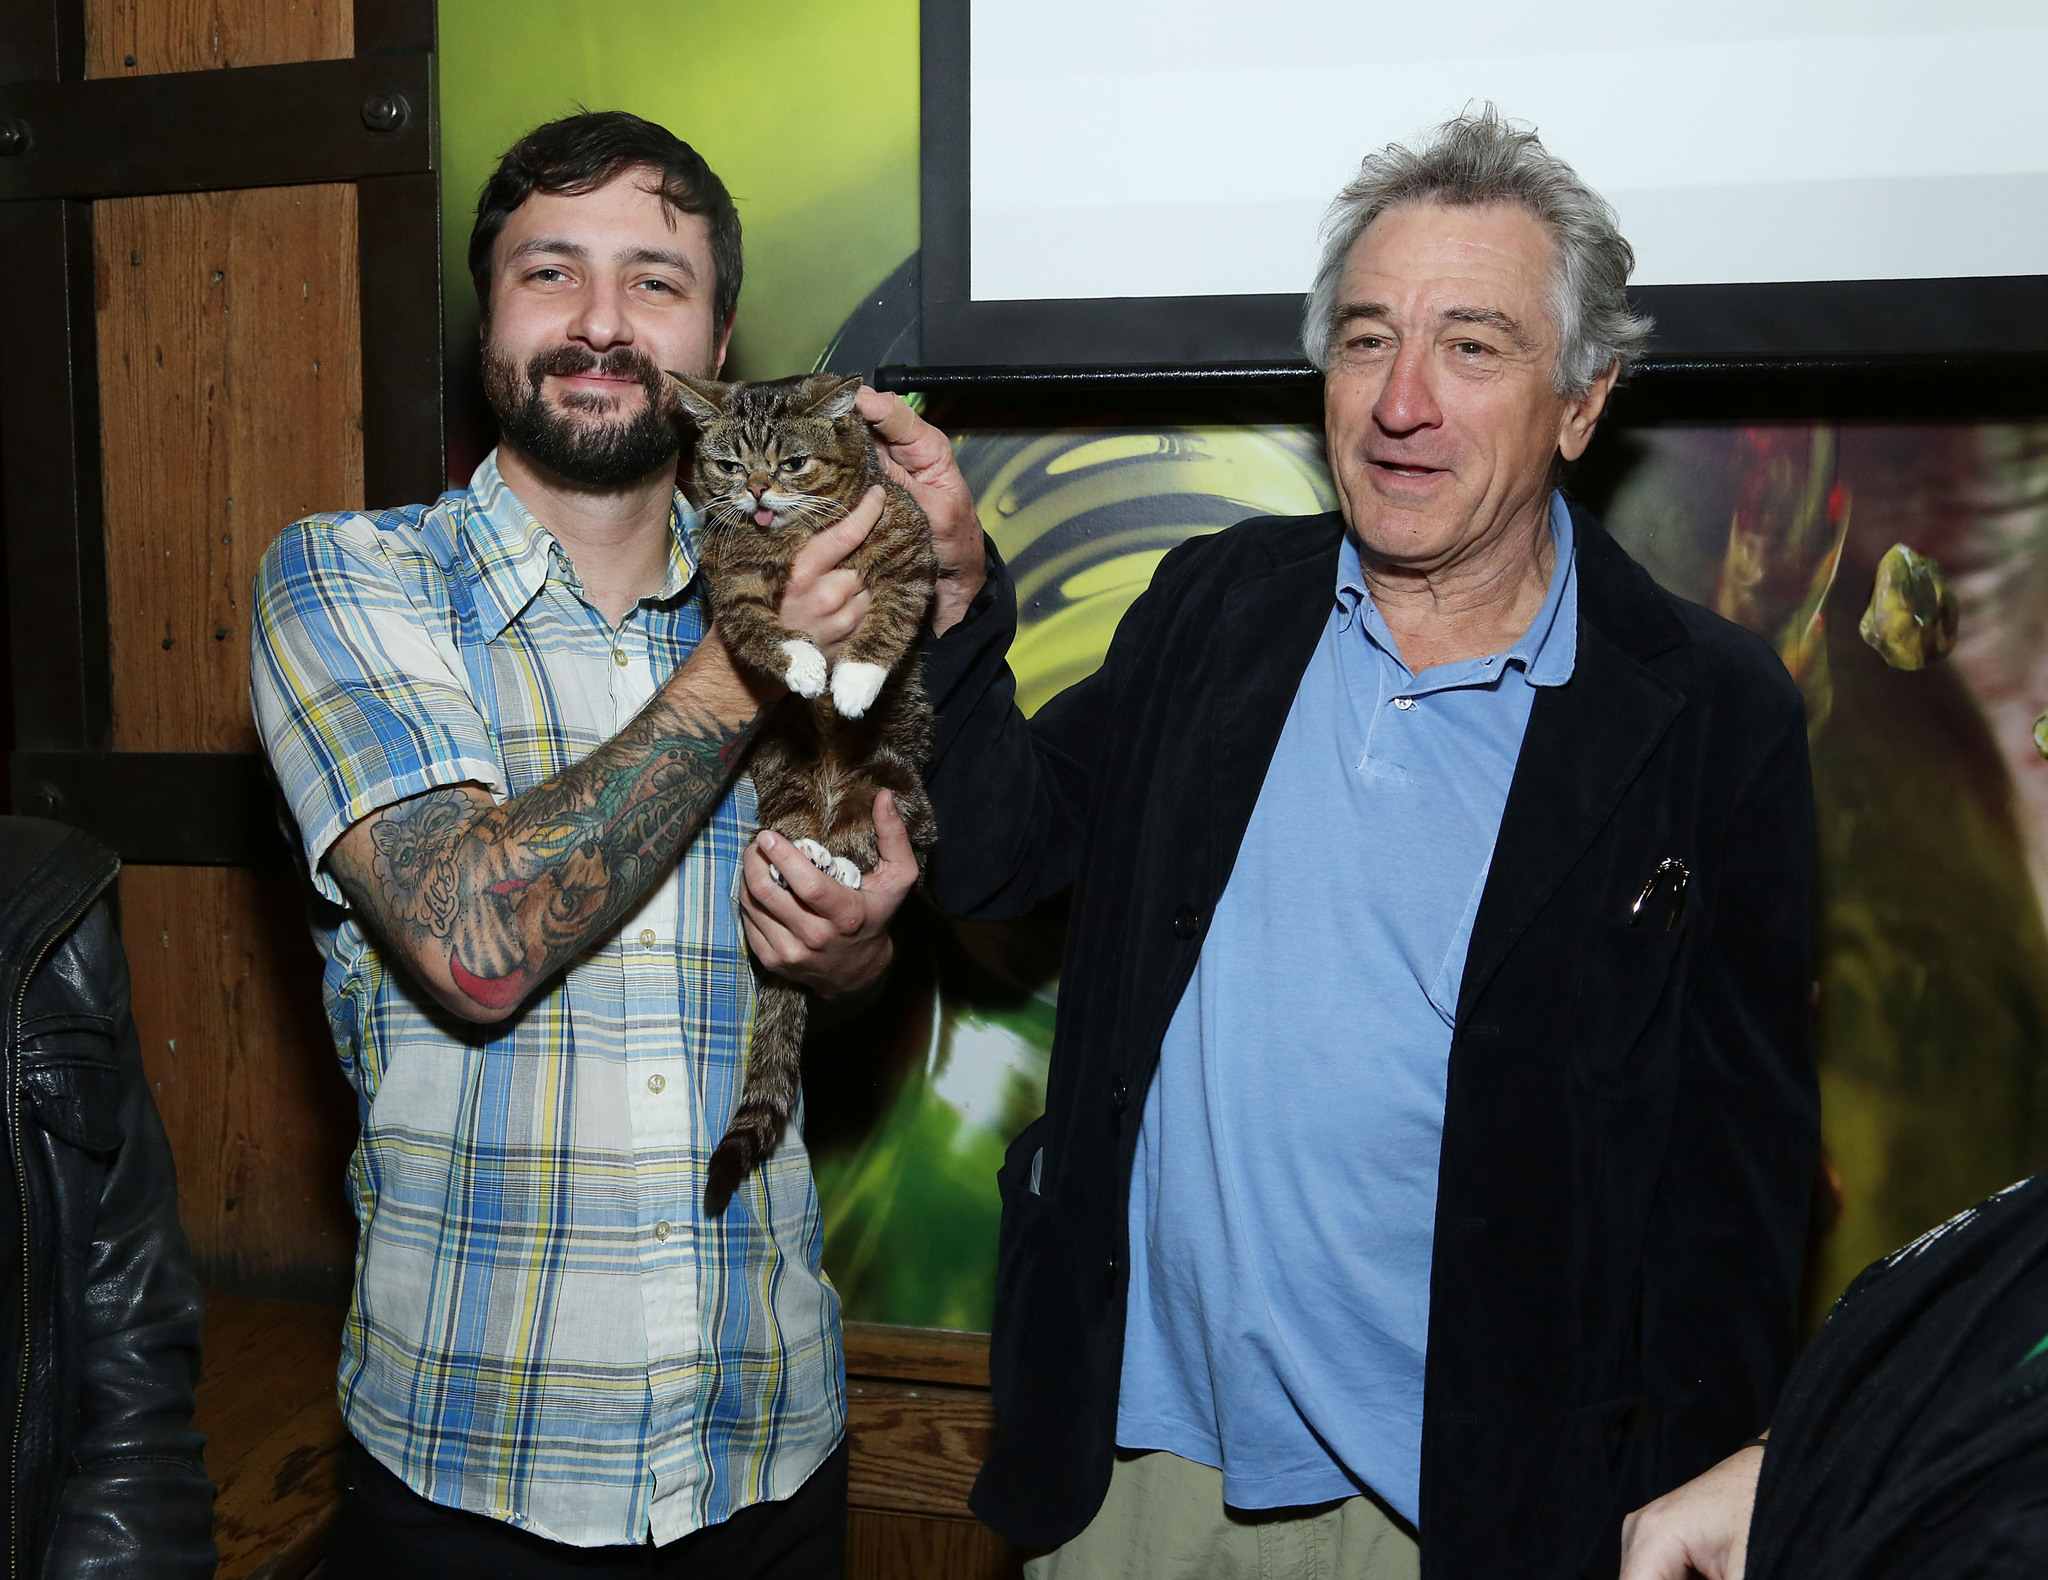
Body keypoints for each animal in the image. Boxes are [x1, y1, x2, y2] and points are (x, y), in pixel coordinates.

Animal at [667, 370, 937, 1213]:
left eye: (791, 463)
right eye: (727, 465)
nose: (756, 491)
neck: (785, 539)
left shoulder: (909, 541)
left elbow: (893, 611)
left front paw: (852, 679)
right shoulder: (729, 577)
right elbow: (755, 629)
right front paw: (805, 664)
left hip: (894, 782)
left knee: (877, 838)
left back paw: (842, 864)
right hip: (780, 770)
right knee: (790, 830)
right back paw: (801, 859)